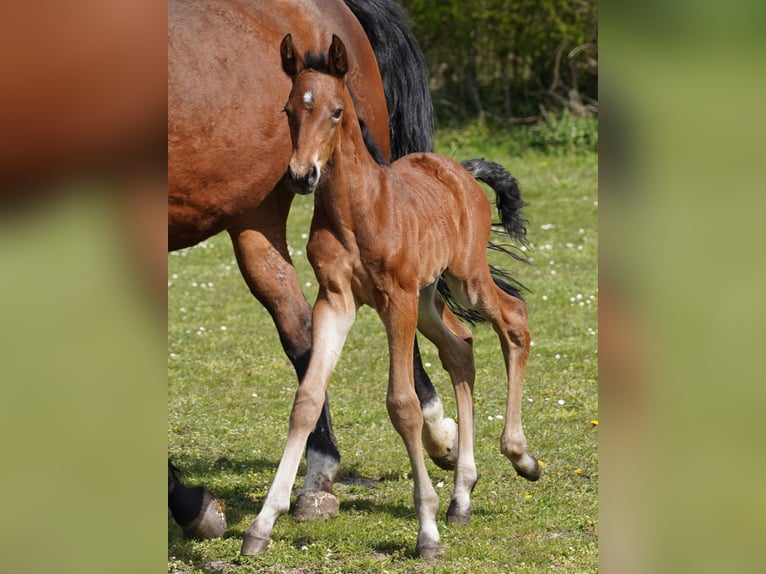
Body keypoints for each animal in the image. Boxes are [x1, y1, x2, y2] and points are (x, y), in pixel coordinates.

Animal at [168, 0, 460, 540]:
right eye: (286, 111)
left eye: (334, 112)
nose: (301, 174)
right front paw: (191, 502)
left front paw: (190, 502)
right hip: (254, 219)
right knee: (302, 327)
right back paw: (318, 476)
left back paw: (436, 435)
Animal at [243, 35, 544, 560]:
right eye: (288, 110)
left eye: (337, 111)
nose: (302, 175)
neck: (357, 210)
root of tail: (461, 171)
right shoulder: (335, 300)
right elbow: (307, 399)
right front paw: (262, 523)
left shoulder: (394, 300)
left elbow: (402, 404)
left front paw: (427, 530)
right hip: (427, 297)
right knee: (461, 348)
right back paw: (462, 495)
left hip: (462, 279)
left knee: (513, 319)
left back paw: (521, 456)